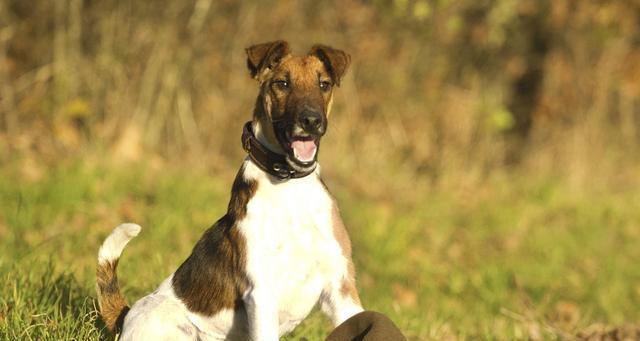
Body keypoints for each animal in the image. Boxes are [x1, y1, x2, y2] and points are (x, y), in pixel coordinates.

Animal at [95, 40, 364, 340]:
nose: (311, 121)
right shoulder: (262, 292)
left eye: (324, 84)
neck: (290, 186)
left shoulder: (341, 287)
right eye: (282, 83)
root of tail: (125, 315)